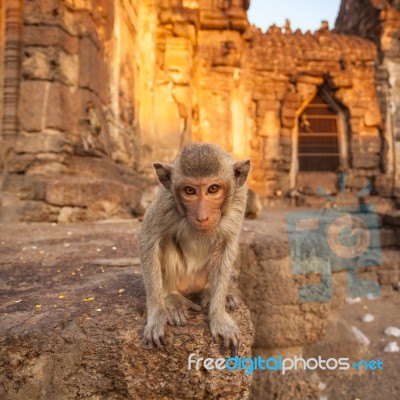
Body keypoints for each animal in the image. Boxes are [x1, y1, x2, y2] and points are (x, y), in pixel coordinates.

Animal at [139, 143, 248, 354]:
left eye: (213, 189)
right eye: (189, 190)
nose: (202, 217)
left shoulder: (239, 200)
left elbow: (227, 244)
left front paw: (218, 316)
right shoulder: (166, 201)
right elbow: (148, 240)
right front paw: (156, 317)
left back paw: (212, 292)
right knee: (165, 241)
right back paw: (173, 297)